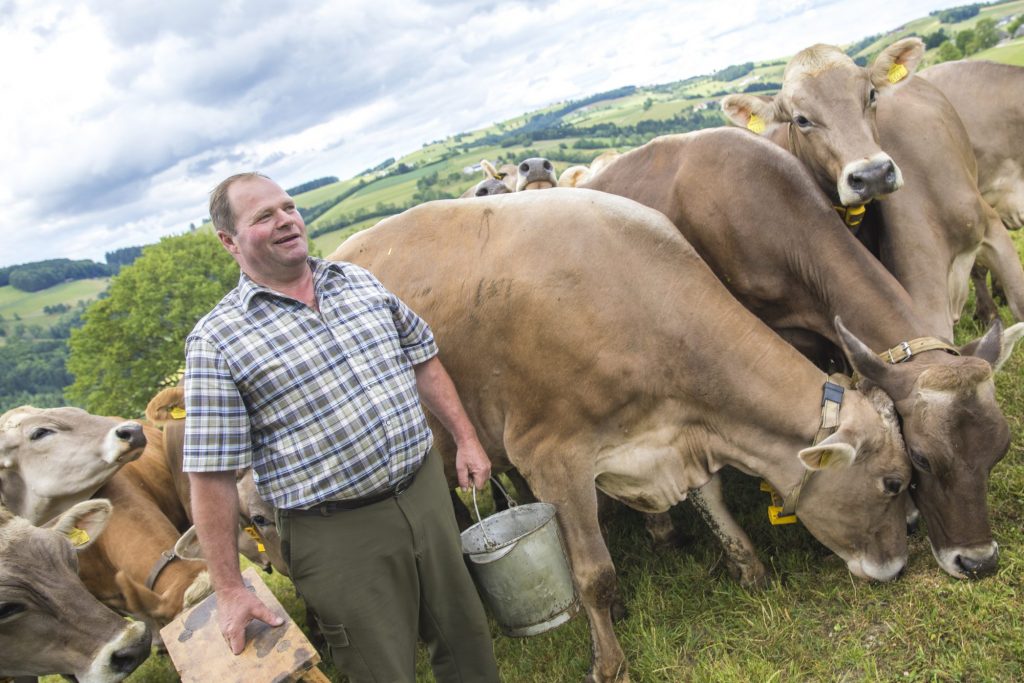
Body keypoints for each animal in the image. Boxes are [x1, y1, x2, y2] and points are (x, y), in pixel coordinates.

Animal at [329, 188, 913, 683]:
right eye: (893, 483)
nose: (897, 568)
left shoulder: (673, 436)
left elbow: (713, 502)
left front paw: (750, 569)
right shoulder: (553, 458)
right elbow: (594, 575)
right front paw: (608, 664)